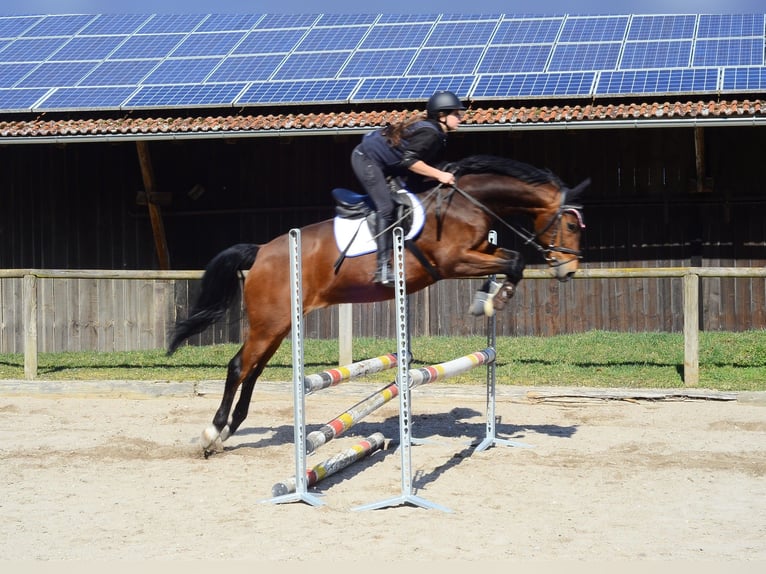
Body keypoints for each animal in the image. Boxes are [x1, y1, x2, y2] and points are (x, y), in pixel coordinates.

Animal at [167, 154, 589, 456]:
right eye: (570, 225)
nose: (568, 271)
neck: (465, 204)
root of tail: (260, 252)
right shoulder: (452, 261)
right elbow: (515, 261)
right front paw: (493, 300)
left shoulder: (480, 251)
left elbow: (511, 259)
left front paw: (489, 297)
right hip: (270, 322)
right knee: (239, 367)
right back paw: (212, 433)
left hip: (279, 325)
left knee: (252, 370)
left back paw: (229, 429)